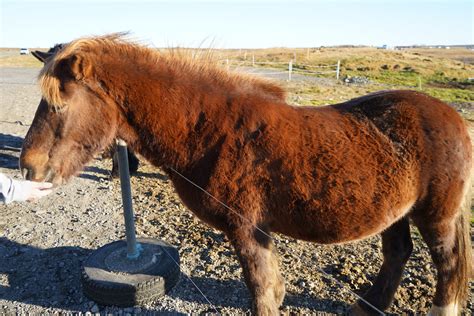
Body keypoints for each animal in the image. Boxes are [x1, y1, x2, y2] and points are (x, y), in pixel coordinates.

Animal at [19, 35, 470, 316]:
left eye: (59, 104)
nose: (29, 166)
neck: (210, 131)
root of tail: (452, 115)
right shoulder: (257, 231)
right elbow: (269, 282)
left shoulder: (246, 230)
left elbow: (259, 286)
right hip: (395, 212)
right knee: (397, 254)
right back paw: (366, 305)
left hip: (436, 216)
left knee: (447, 264)